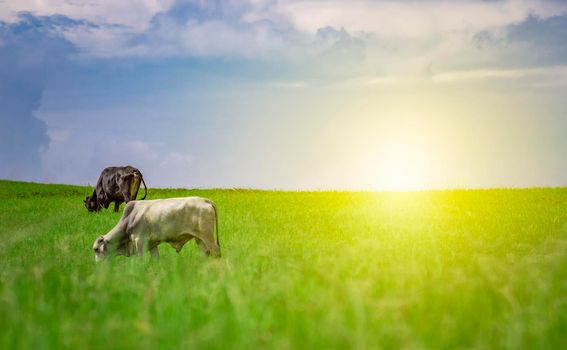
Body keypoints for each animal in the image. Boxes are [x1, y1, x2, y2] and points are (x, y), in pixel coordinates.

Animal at [92, 196, 221, 262]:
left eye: (96, 249)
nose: (97, 265)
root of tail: (205, 200)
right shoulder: (152, 244)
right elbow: (156, 259)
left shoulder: (139, 240)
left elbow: (140, 259)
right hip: (199, 239)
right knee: (205, 253)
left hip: (208, 237)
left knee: (215, 251)